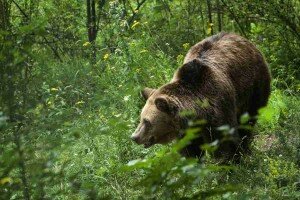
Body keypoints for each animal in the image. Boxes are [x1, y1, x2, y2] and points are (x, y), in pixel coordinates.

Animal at [130, 32, 270, 161]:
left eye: (147, 121)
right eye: (141, 118)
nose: (134, 137)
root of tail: (237, 36)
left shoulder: (219, 107)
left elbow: (225, 141)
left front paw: (230, 160)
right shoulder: (187, 131)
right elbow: (190, 149)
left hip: (254, 85)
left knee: (248, 119)